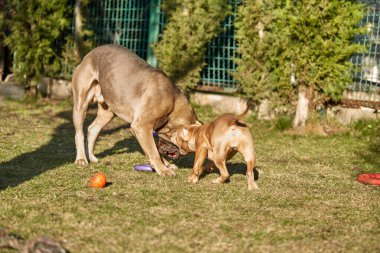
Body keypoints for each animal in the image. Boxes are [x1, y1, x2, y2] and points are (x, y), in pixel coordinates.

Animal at [71, 45, 197, 176]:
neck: (172, 102)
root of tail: (89, 54)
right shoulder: (142, 126)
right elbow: (154, 152)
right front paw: (163, 170)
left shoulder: (147, 130)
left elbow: (154, 150)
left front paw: (165, 165)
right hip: (81, 104)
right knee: (79, 133)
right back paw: (81, 159)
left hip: (108, 112)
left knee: (93, 129)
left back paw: (92, 157)